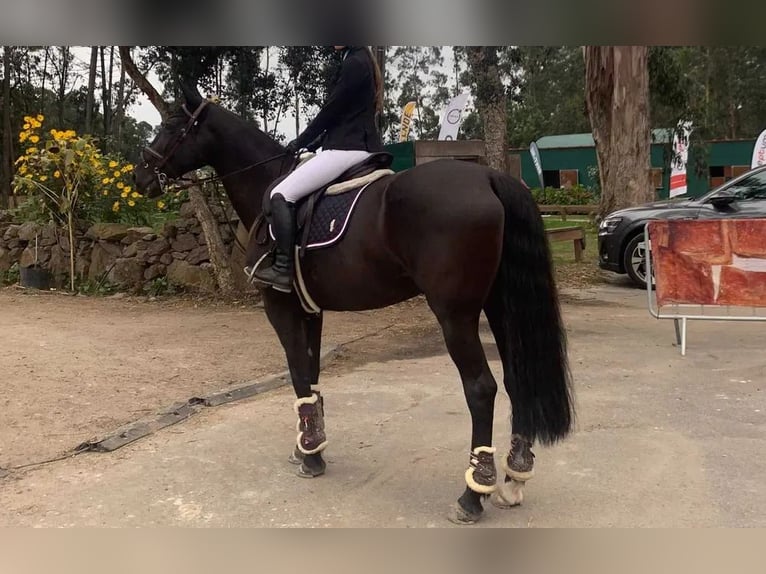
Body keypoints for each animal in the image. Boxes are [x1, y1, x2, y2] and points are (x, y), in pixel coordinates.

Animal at [132, 84, 574, 524]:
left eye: (171, 125)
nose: (139, 176)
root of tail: (487, 175)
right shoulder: (310, 309)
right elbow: (311, 374)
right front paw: (308, 445)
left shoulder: (281, 307)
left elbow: (297, 373)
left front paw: (311, 457)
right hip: (498, 305)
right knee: (517, 379)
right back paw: (514, 478)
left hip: (455, 315)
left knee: (481, 389)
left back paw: (472, 493)